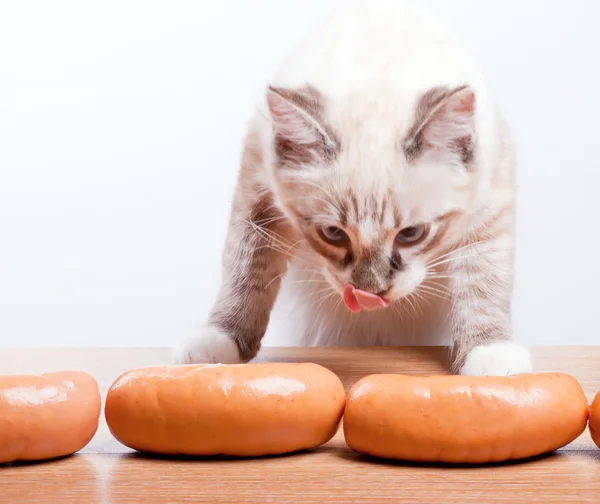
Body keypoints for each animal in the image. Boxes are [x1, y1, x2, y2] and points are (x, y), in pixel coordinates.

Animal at [171, 0, 532, 374]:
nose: (371, 293)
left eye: (411, 234)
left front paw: (489, 353)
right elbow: (244, 274)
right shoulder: (259, 197)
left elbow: (483, 283)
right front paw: (219, 341)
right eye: (333, 233)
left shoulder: (489, 212)